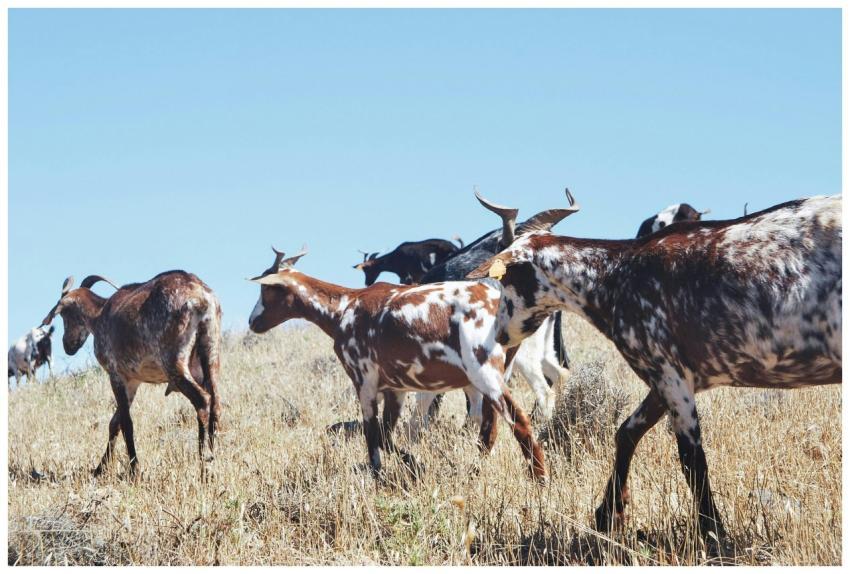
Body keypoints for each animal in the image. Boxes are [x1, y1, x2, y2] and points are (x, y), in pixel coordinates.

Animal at [41, 271, 223, 477]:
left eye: (65, 315)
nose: (68, 345)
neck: (100, 315)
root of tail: (201, 298)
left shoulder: (116, 374)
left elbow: (126, 423)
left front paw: (134, 469)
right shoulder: (133, 381)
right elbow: (115, 423)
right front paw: (100, 468)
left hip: (174, 361)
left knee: (202, 400)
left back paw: (204, 463)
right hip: (211, 351)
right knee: (216, 404)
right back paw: (213, 456)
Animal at [249, 247, 547, 482]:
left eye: (267, 287)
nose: (253, 322)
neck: (344, 308)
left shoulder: (364, 382)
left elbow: (372, 438)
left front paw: (381, 475)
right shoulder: (396, 389)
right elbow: (386, 436)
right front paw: (414, 463)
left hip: (484, 373)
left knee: (519, 421)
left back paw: (539, 479)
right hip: (497, 374)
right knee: (489, 429)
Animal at [469, 194, 841, 556]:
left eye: (506, 281)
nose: (500, 335)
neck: (614, 274)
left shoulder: (668, 373)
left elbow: (691, 458)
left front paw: (713, 533)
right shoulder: (670, 378)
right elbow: (626, 432)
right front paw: (609, 513)